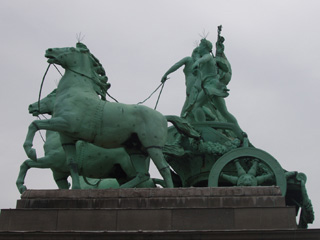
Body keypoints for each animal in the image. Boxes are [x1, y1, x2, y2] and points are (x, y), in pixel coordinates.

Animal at [23, 44, 174, 188]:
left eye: (71, 49)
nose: (49, 50)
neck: (76, 91)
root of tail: (162, 116)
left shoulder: (65, 125)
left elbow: (34, 125)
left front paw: (30, 151)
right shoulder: (67, 139)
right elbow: (72, 164)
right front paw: (76, 188)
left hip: (152, 147)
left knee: (163, 169)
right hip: (135, 150)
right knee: (143, 175)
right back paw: (118, 189)